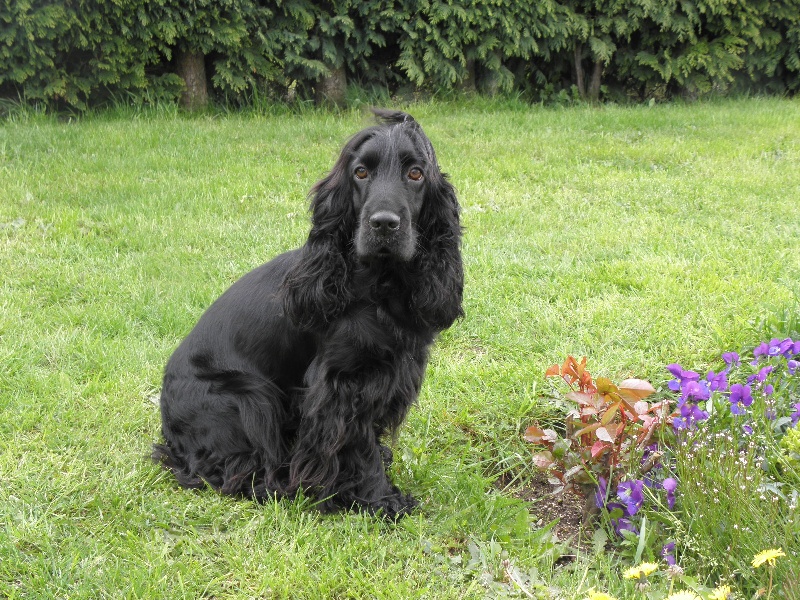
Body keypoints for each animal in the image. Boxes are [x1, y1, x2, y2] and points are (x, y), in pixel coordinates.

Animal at [152, 109, 462, 516]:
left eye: (415, 173)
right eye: (360, 172)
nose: (383, 224)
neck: (381, 284)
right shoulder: (343, 385)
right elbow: (358, 444)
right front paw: (379, 498)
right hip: (249, 398)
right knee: (236, 470)